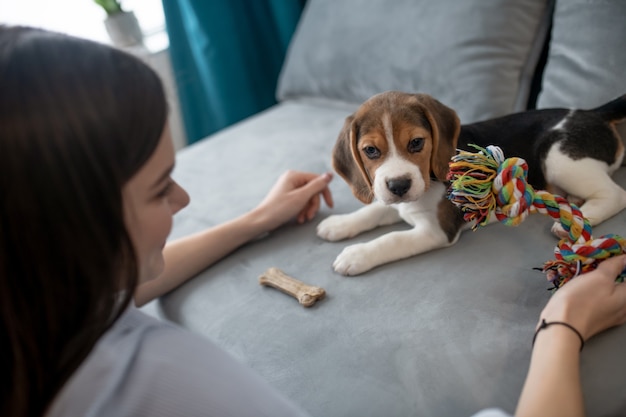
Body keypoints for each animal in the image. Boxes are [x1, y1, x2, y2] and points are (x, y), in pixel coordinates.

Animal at [316, 89, 624, 274]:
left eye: (416, 143)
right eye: (370, 151)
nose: (399, 186)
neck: (427, 180)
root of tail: (592, 112)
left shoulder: (436, 231)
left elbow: (391, 239)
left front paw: (356, 255)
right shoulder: (395, 199)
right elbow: (373, 210)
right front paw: (339, 224)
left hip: (558, 157)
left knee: (615, 194)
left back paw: (575, 219)